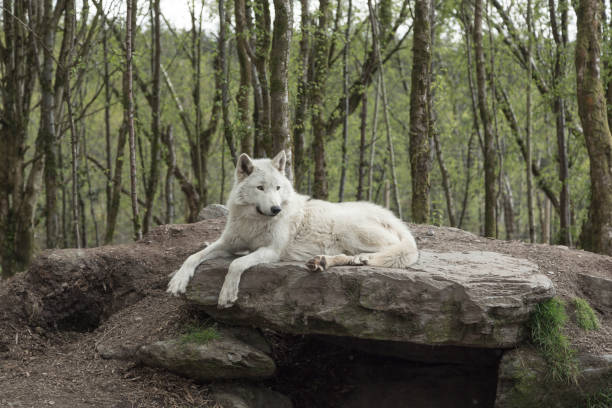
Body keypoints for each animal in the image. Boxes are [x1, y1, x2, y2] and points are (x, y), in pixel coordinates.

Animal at [165, 151, 418, 308]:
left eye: (277, 188)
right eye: (261, 188)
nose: (276, 208)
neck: (254, 221)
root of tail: (395, 219)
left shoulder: (271, 251)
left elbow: (236, 264)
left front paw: (227, 294)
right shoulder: (228, 243)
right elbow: (193, 256)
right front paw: (177, 281)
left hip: (349, 230)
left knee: (391, 250)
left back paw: (361, 259)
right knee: (345, 256)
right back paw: (322, 262)